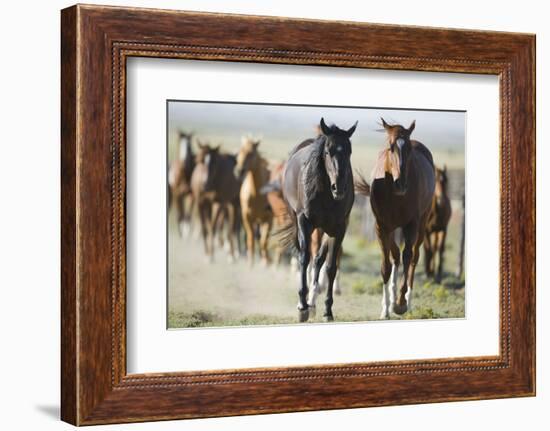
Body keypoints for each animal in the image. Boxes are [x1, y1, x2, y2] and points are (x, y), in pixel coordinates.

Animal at [236, 138, 274, 266]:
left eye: (251, 153)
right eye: (239, 151)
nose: (239, 170)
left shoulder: (269, 219)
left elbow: (264, 242)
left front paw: (266, 262)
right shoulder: (246, 217)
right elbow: (251, 239)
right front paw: (250, 263)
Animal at [280, 117, 358, 320]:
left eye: (349, 151)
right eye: (328, 151)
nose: (339, 187)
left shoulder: (338, 229)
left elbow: (330, 267)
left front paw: (327, 310)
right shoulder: (304, 222)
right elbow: (304, 258)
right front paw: (302, 306)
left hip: (324, 228)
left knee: (318, 260)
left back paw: (313, 302)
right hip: (297, 221)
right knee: (305, 256)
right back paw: (306, 302)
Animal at [358, 118, 436, 320]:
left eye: (408, 148)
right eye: (390, 147)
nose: (400, 183)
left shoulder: (411, 225)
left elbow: (407, 256)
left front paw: (400, 304)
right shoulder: (381, 227)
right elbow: (386, 265)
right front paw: (386, 308)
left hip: (421, 225)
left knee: (414, 257)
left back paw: (407, 301)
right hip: (391, 229)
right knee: (395, 255)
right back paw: (390, 300)